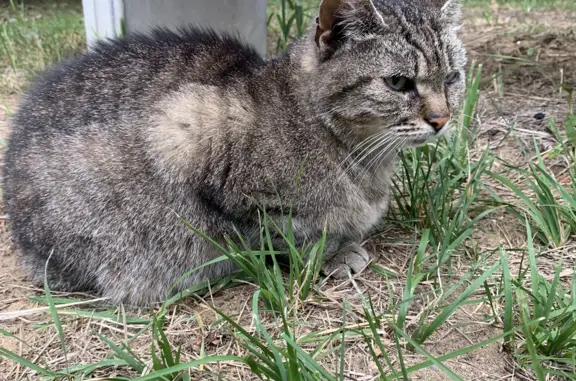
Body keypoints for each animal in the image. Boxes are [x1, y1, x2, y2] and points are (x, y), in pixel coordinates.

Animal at [4, 0, 468, 304]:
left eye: (453, 77)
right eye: (398, 83)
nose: (441, 119)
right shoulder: (189, 136)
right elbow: (291, 234)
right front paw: (334, 251)